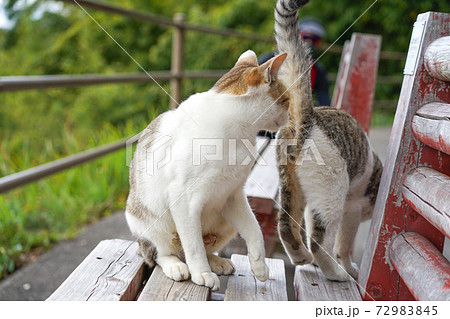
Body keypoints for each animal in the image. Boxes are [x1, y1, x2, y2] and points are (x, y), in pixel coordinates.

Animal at [125, 50, 290, 292]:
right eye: (286, 100)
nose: (289, 116)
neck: (239, 134)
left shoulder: (233, 195)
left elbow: (254, 230)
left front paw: (260, 265)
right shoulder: (183, 198)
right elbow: (193, 246)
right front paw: (201, 273)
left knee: (203, 247)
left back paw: (216, 261)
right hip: (150, 222)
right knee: (161, 253)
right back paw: (176, 265)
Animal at [272, 0, 382, 282]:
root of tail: (308, 118)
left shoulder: (316, 204)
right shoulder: (352, 209)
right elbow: (344, 245)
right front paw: (349, 268)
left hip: (292, 185)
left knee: (286, 225)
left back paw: (302, 258)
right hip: (333, 189)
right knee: (319, 241)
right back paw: (334, 273)